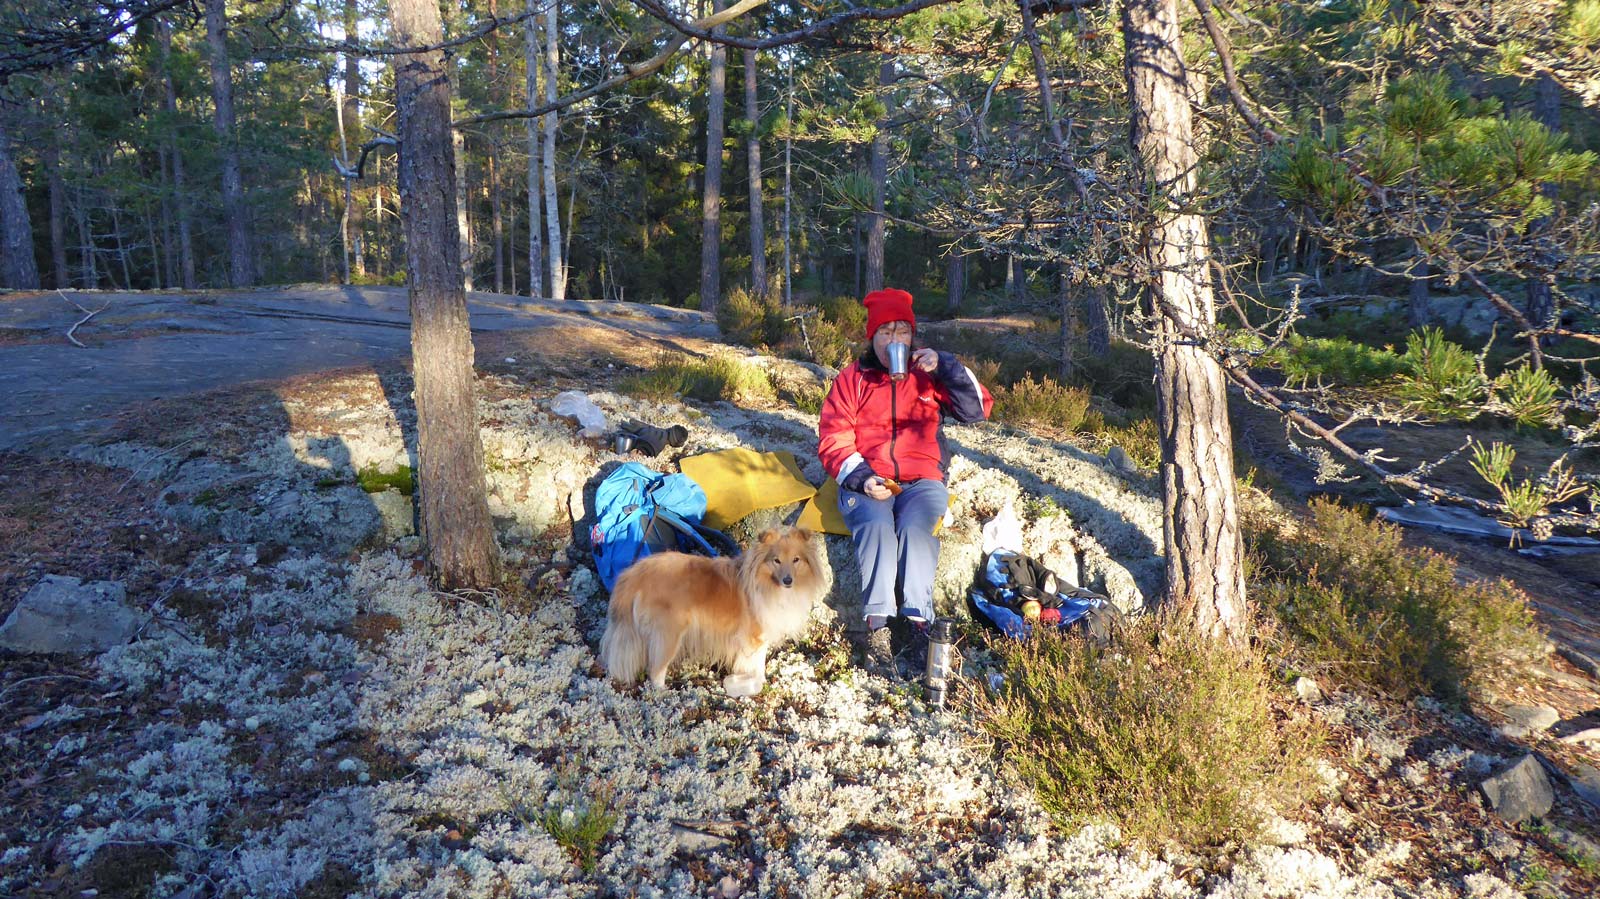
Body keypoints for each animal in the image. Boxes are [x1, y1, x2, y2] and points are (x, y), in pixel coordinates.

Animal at [598, 521, 825, 697]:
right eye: (776, 560)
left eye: (796, 560)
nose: (788, 580)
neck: (766, 583)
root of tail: (634, 574)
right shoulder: (754, 638)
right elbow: (757, 667)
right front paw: (751, 685)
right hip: (669, 634)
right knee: (655, 671)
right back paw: (665, 695)